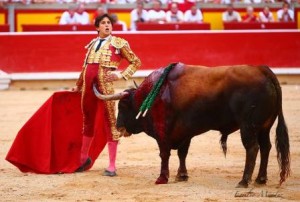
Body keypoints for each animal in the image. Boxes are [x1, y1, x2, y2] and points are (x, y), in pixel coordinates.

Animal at [94, 62, 290, 188]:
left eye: (122, 106)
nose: (118, 127)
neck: (153, 94)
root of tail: (263, 70)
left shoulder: (162, 132)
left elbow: (164, 154)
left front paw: (162, 178)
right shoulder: (184, 132)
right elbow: (182, 153)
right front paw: (182, 175)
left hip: (248, 126)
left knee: (252, 148)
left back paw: (244, 181)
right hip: (264, 127)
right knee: (266, 147)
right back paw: (260, 179)